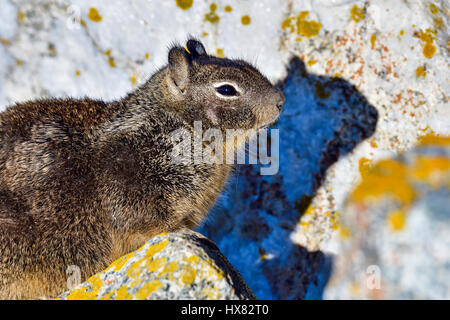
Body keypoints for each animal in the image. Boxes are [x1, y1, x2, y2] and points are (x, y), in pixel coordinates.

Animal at [0, 38, 284, 298]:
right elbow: (155, 227)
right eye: (226, 89)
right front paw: (198, 237)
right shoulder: (135, 195)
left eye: (248, 66)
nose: (281, 100)